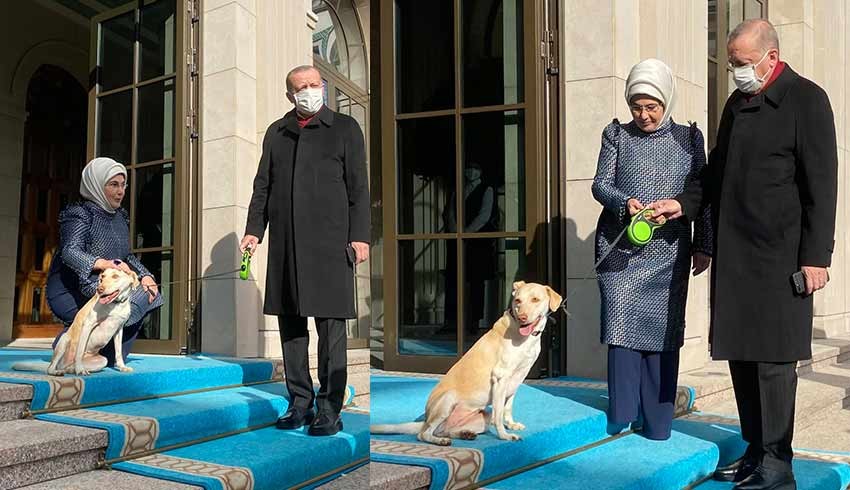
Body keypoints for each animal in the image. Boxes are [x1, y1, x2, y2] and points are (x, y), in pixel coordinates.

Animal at [372, 282, 564, 446]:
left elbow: (507, 407)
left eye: (535, 299)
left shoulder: (517, 378)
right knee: (424, 434)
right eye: (518, 301)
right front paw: (505, 435)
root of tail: (425, 420)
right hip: (447, 401)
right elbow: (499, 413)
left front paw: (511, 424)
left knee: (444, 430)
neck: (525, 336)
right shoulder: (501, 377)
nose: (523, 317)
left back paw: (463, 434)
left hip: (482, 416)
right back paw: (440, 441)